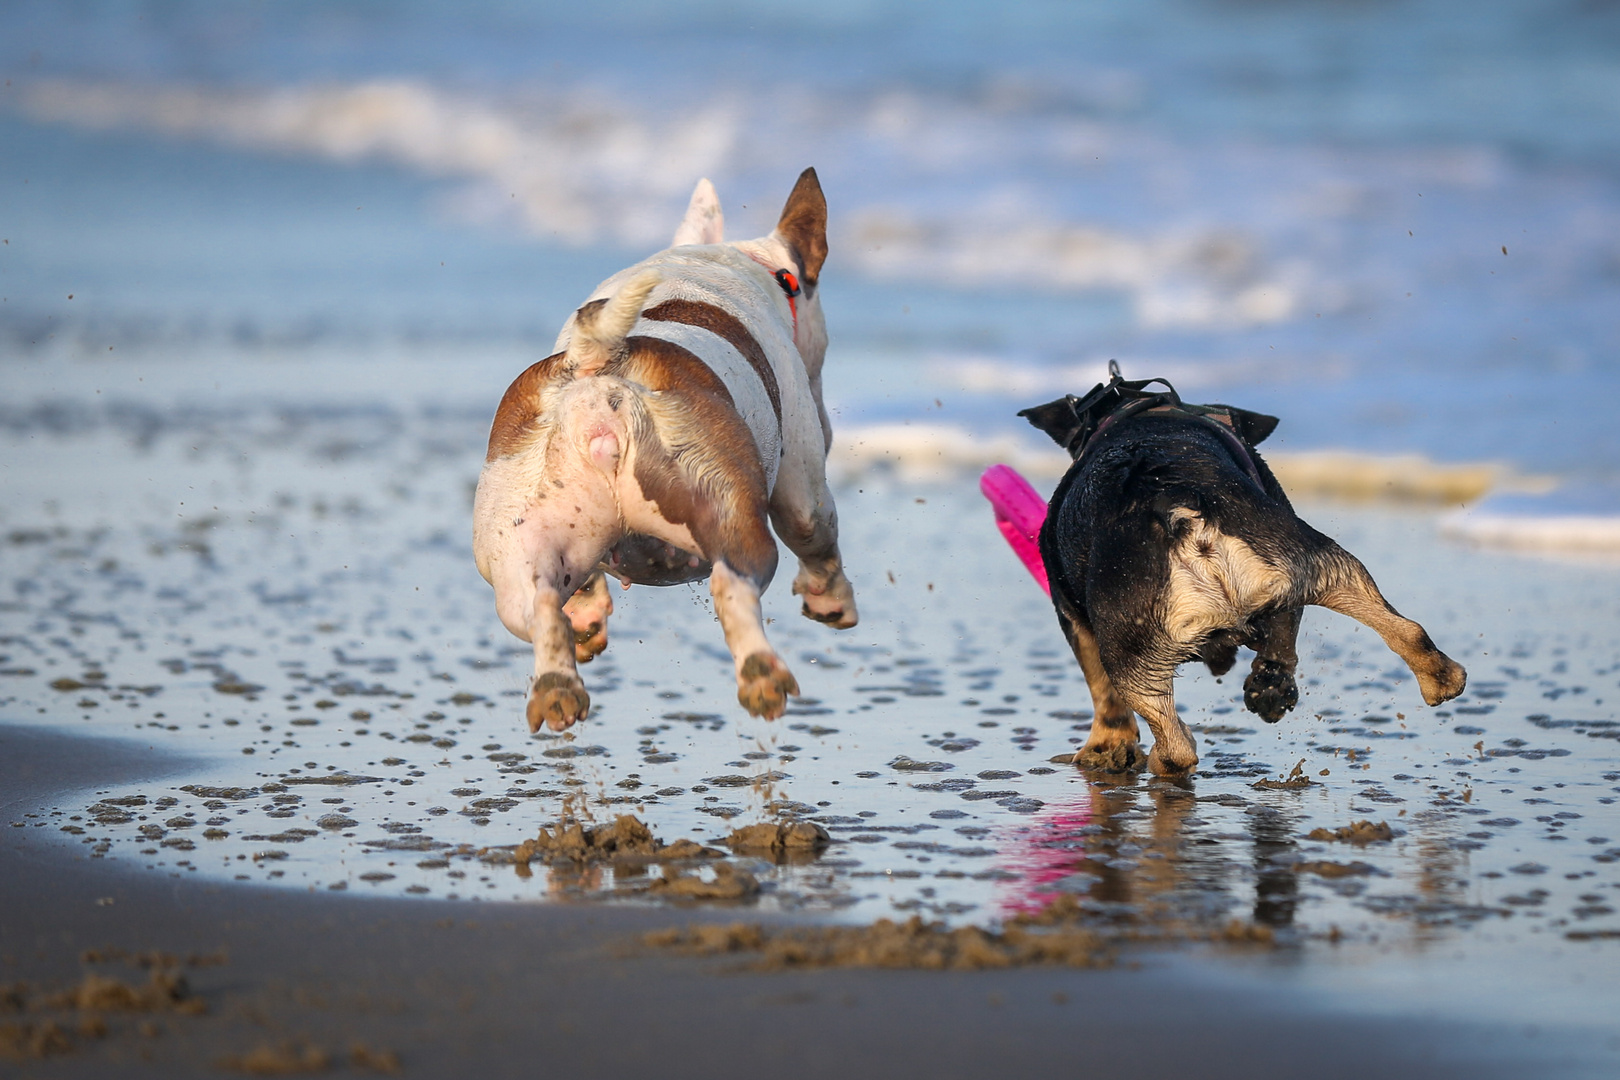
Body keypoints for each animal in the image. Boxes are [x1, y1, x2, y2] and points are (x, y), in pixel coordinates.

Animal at [473, 169, 861, 735]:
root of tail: (597, 375)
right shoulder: (802, 490)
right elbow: (815, 534)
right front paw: (830, 600)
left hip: (515, 553)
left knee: (541, 606)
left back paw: (559, 686)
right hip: (725, 505)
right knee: (734, 585)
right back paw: (762, 677)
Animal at [1023, 372, 1470, 777]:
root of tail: (1176, 501)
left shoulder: (1072, 617)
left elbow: (1102, 690)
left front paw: (1106, 746)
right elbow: (1283, 640)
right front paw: (1270, 687)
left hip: (1127, 644)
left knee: (1172, 740)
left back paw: (1163, 758)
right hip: (1316, 559)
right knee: (1399, 625)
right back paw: (1440, 679)